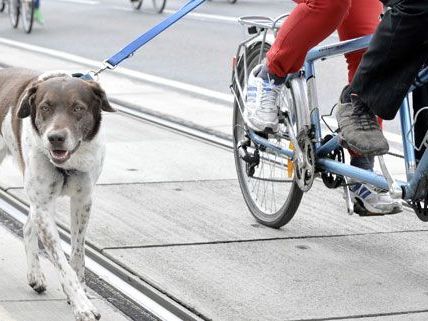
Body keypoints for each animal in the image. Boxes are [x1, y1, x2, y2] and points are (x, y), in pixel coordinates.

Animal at [0, 68, 114, 320]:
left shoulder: (82, 201)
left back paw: (35, 275)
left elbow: (77, 255)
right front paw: (82, 305)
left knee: (27, 226)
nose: (55, 138)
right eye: (45, 107)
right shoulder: (43, 205)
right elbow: (63, 264)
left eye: (78, 108)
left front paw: (80, 292)